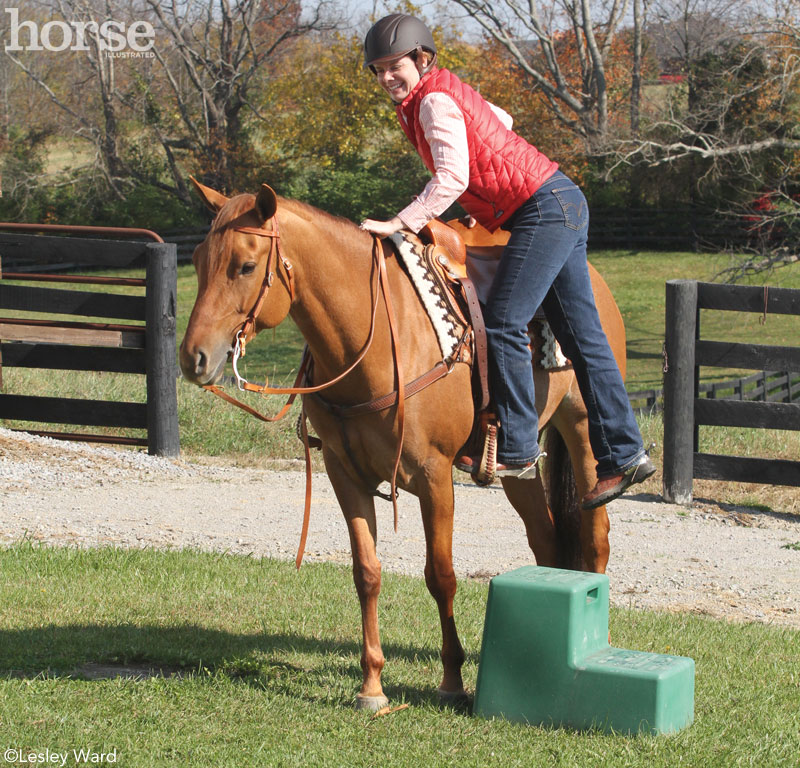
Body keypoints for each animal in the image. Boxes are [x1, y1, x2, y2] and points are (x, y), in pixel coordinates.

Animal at [180, 178, 624, 708]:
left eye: (245, 265)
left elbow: (441, 575)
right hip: (520, 461)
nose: (193, 357)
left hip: (581, 432)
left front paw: (452, 680)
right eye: (198, 260)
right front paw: (372, 686)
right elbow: (367, 572)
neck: (368, 345)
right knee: (546, 538)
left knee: (595, 538)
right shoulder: (344, 473)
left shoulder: (434, 478)